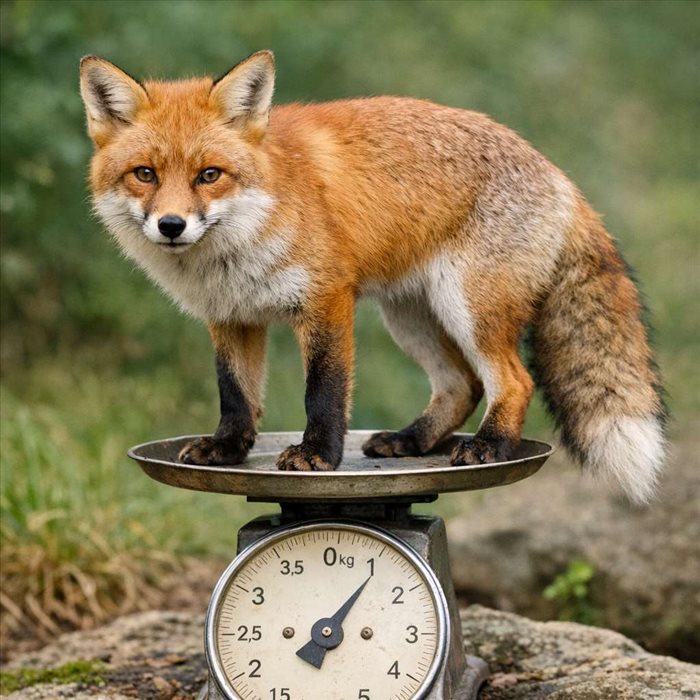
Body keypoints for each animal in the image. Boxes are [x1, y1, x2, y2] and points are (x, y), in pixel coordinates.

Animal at [80, 50, 666, 503]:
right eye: (145, 174)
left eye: (209, 175)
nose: (171, 225)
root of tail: (561, 176)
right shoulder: (231, 317)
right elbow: (236, 393)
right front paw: (226, 449)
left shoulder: (326, 298)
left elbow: (324, 390)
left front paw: (317, 456)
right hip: (410, 316)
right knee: (463, 385)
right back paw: (412, 441)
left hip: (468, 308)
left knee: (512, 381)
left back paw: (488, 445)